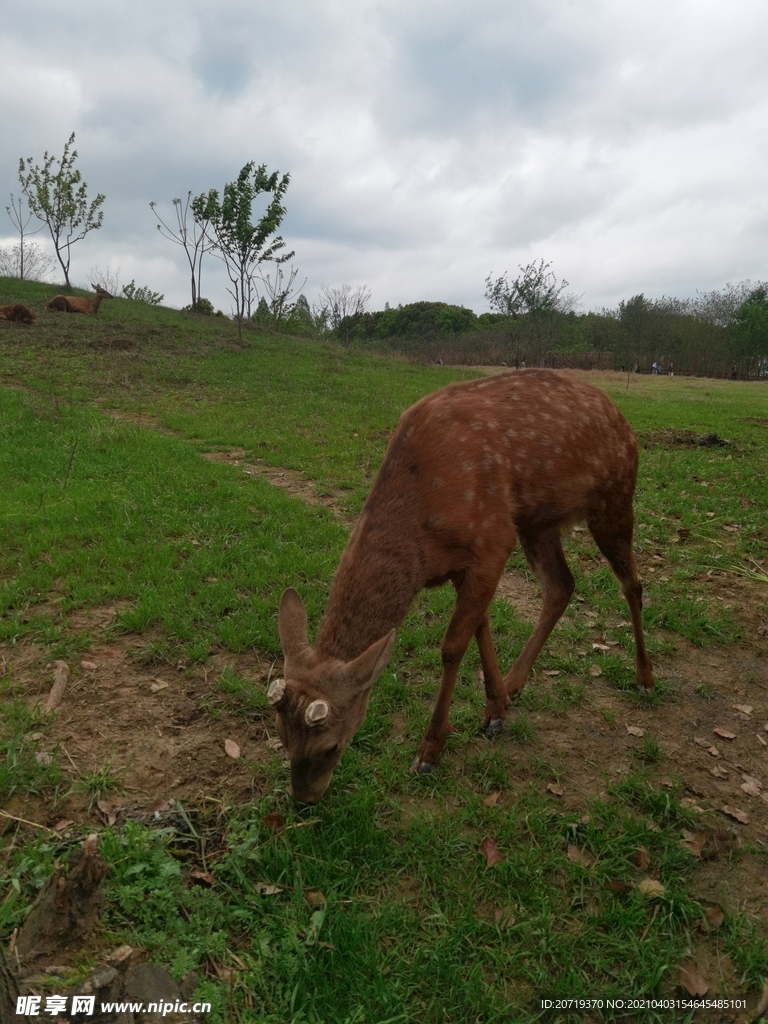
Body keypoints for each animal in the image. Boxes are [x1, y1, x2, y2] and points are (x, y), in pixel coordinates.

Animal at [270, 372, 655, 802]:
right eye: (281, 736)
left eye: (330, 746)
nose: (303, 798)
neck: (423, 539)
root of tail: (624, 422)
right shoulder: (463, 561)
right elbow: (480, 627)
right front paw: (495, 709)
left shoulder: (492, 539)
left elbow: (453, 645)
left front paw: (429, 752)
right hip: (537, 522)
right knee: (562, 586)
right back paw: (515, 683)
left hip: (614, 499)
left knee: (633, 584)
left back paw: (645, 678)